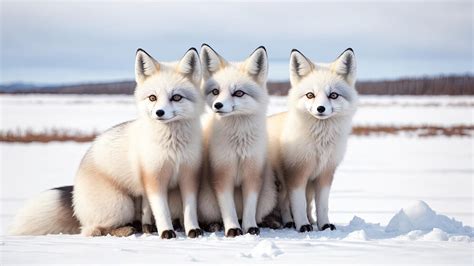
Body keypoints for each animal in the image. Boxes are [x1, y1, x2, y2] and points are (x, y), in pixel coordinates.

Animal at [197, 44, 278, 237]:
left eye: (238, 93)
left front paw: (249, 228)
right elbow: (228, 209)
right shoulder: (221, 174)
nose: (217, 105)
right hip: (206, 203)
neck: (239, 145)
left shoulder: (253, 174)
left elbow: (249, 210)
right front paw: (233, 228)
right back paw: (214, 225)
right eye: (216, 91)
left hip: (268, 197)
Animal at [268, 48, 358, 233]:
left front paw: (324, 225)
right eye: (310, 95)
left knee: (307, 204)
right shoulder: (296, 172)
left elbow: (322, 205)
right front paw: (302, 225)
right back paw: (290, 222)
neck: (320, 142)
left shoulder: (325, 173)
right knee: (285, 203)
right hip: (281, 184)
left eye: (333, 95)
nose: (320, 108)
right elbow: (298, 205)